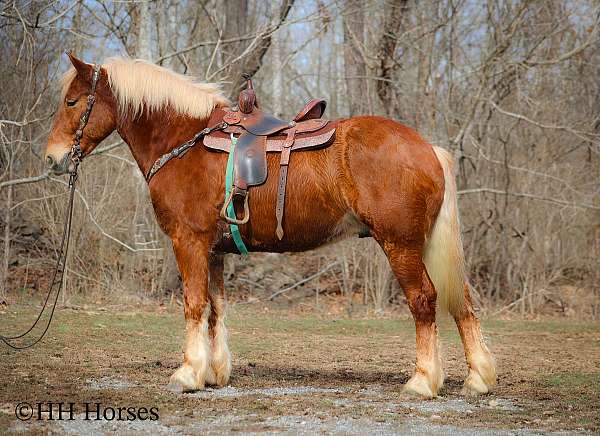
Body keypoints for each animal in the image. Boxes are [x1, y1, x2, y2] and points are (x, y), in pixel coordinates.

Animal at [43, 52, 496, 396]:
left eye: (72, 101)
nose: (52, 158)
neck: (183, 140)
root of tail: (428, 148)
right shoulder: (214, 250)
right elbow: (215, 309)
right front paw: (214, 372)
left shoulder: (188, 242)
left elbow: (193, 305)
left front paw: (188, 373)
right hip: (424, 246)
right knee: (462, 302)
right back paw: (477, 378)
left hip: (400, 245)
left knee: (424, 300)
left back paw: (423, 381)